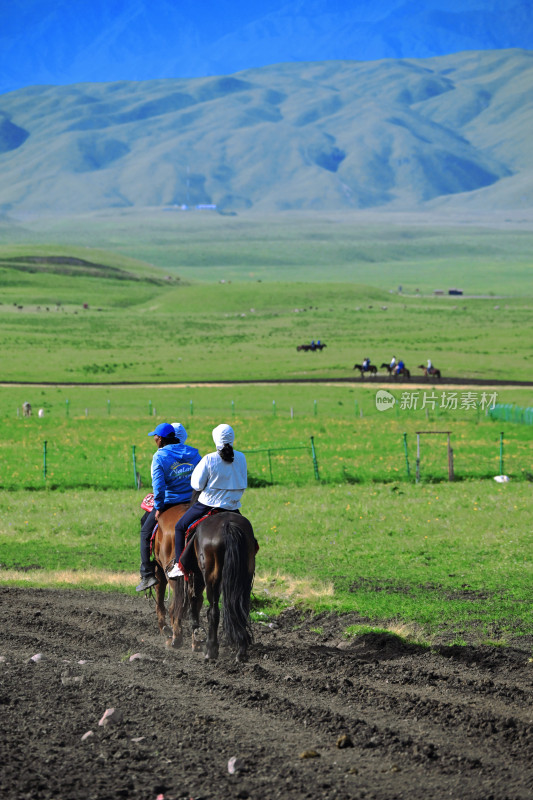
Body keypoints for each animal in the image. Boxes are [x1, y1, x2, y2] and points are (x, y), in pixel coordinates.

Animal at [152, 506, 256, 664]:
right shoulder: (196, 578)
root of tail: (228, 525)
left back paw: (209, 649)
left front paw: (177, 637)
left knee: (212, 611)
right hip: (243, 578)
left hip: (210, 578)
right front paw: (194, 641)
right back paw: (241, 652)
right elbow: (193, 605)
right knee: (240, 609)